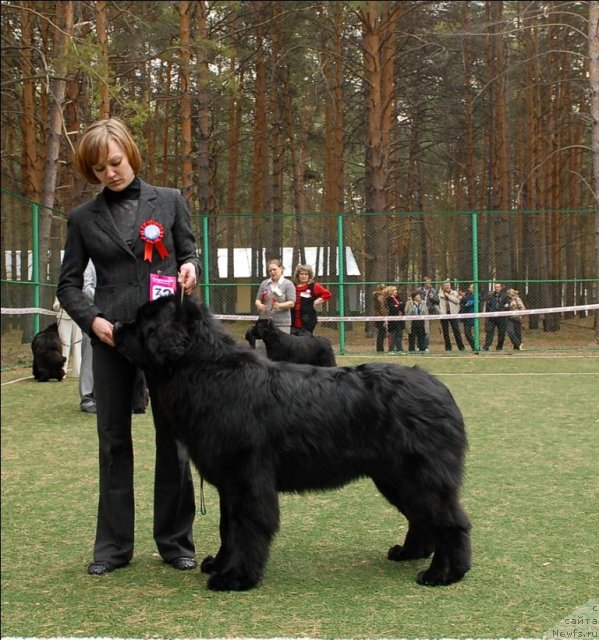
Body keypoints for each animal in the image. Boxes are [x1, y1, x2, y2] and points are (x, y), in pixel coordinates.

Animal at [113, 296, 468, 592]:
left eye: (144, 322)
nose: (115, 326)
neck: (210, 372)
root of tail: (440, 389)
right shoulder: (230, 483)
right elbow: (228, 527)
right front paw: (219, 564)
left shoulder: (248, 479)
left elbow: (246, 528)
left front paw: (235, 577)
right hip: (394, 477)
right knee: (421, 517)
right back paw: (409, 553)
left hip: (418, 476)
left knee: (451, 520)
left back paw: (444, 573)